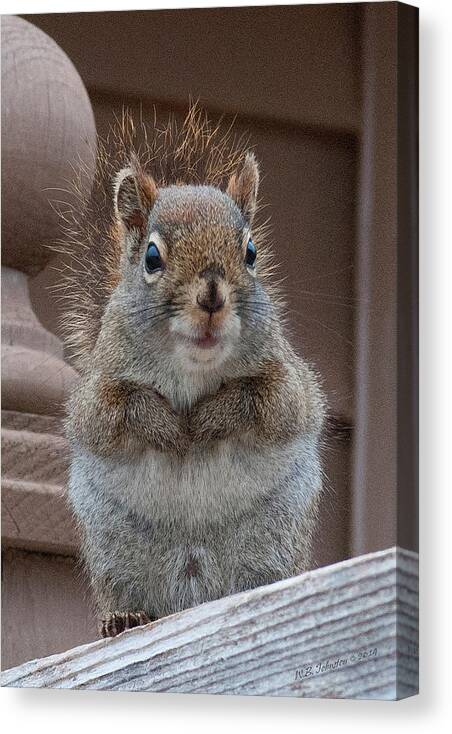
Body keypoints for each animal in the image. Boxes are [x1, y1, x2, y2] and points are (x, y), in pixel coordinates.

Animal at [59, 108, 324, 640]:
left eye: (251, 253)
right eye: (152, 257)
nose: (212, 296)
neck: (192, 366)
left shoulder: (288, 383)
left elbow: (268, 402)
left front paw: (206, 421)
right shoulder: (97, 392)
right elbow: (113, 411)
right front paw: (168, 428)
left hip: (274, 538)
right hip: (115, 551)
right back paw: (123, 617)